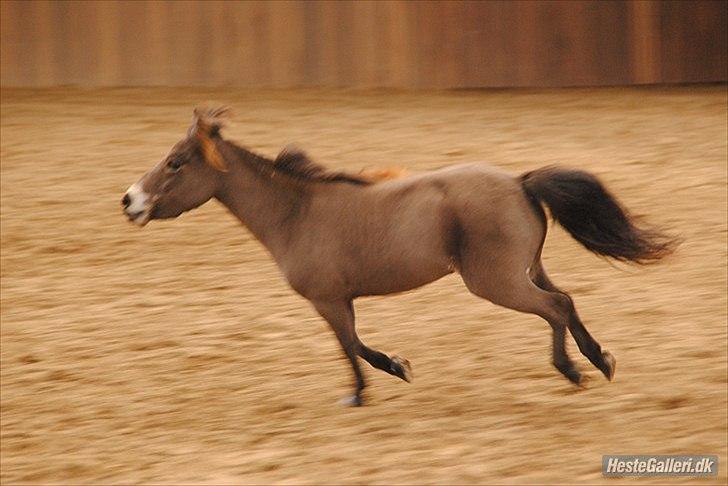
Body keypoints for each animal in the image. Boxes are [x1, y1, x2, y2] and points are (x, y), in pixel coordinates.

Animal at [122, 107, 672, 406]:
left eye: (175, 163)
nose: (129, 201)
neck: (296, 212)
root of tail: (519, 182)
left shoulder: (328, 300)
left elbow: (351, 346)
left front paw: (376, 383)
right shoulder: (339, 300)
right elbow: (353, 345)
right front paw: (382, 378)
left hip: (497, 282)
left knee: (555, 308)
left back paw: (575, 371)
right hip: (528, 270)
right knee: (567, 300)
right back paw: (600, 360)